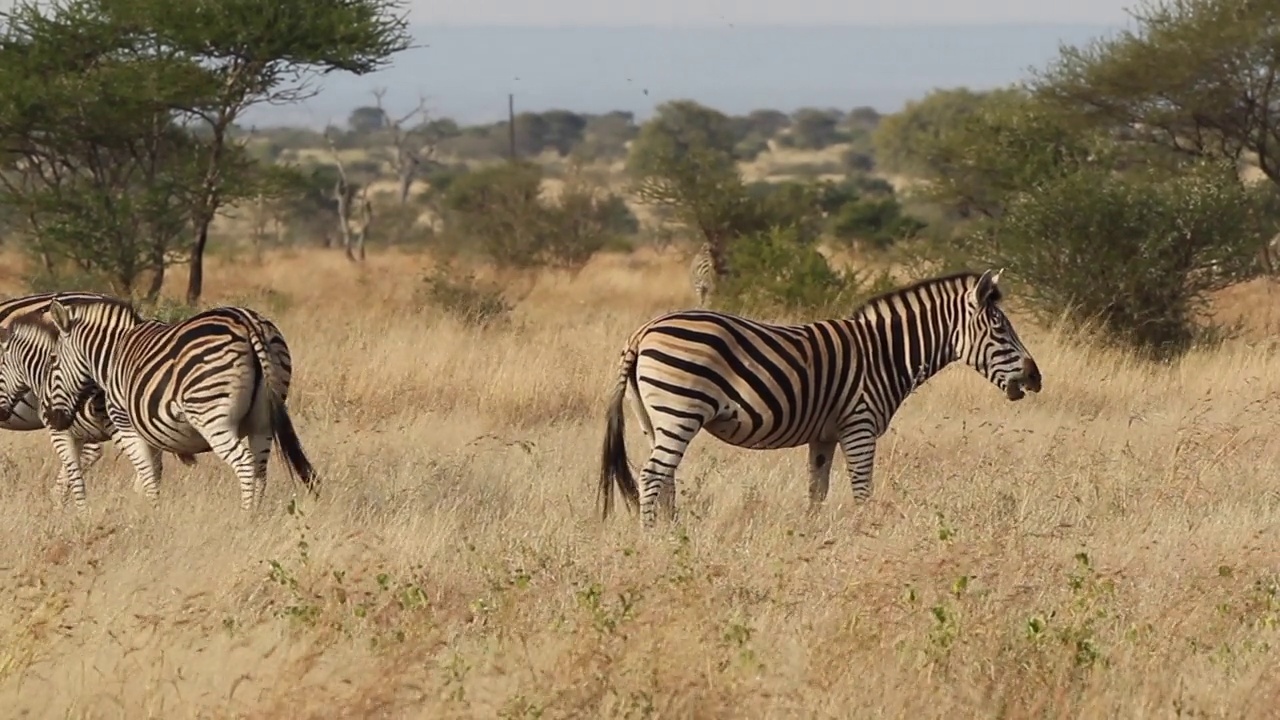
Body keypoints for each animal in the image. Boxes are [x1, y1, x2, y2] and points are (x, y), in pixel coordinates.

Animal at [41, 293, 320, 509]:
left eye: (52, 360)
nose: (52, 418)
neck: (111, 355)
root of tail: (248, 323)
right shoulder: (148, 434)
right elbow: (151, 476)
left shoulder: (126, 425)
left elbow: (147, 475)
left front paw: (151, 516)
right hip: (262, 421)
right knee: (261, 469)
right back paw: (256, 515)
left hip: (211, 416)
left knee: (245, 464)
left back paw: (245, 517)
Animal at [599, 266, 1039, 525]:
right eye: (1000, 330)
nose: (1036, 378)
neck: (885, 353)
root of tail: (642, 332)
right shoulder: (859, 424)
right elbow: (862, 488)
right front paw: (865, 533)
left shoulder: (824, 435)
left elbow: (817, 491)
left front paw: (811, 537)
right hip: (680, 410)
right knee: (653, 475)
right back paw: (653, 538)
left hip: (653, 417)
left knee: (665, 477)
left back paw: (673, 532)